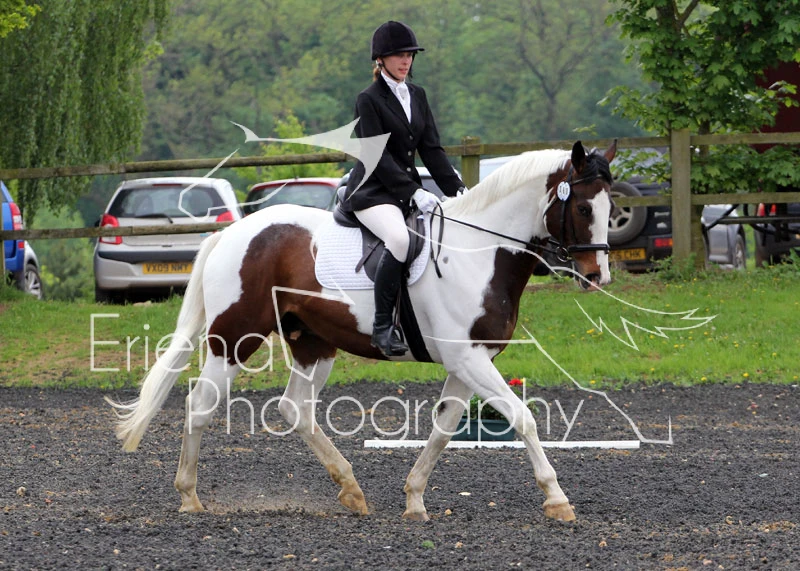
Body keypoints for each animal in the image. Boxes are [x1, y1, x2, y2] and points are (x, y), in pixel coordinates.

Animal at [107, 139, 617, 522]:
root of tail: (231, 232)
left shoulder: (469, 361)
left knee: (296, 408)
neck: (479, 251)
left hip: (313, 342)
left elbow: (443, 427)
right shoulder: (467, 358)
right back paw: (189, 496)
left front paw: (414, 499)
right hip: (235, 339)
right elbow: (523, 417)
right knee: (200, 404)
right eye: (583, 207)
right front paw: (557, 499)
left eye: (611, 207)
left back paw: (350, 488)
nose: (598, 276)